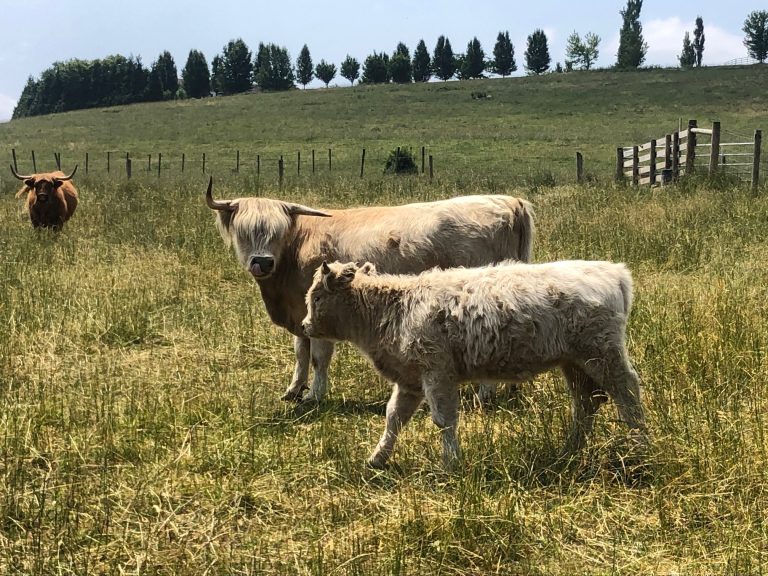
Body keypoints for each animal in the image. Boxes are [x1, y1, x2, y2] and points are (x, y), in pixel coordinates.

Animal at [206, 177, 534, 404]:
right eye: (244, 231)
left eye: (277, 231)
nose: (262, 262)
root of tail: (508, 201)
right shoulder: (300, 315)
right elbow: (301, 353)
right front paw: (294, 389)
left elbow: (319, 357)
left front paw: (314, 395)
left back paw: (485, 394)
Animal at [302, 260, 648, 470]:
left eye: (317, 297)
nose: (305, 325)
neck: (396, 308)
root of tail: (613, 272)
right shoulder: (410, 380)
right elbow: (394, 418)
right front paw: (376, 459)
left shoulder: (437, 374)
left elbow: (443, 420)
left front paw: (451, 463)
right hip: (574, 363)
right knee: (586, 402)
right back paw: (570, 450)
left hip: (603, 356)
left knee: (627, 394)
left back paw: (641, 448)